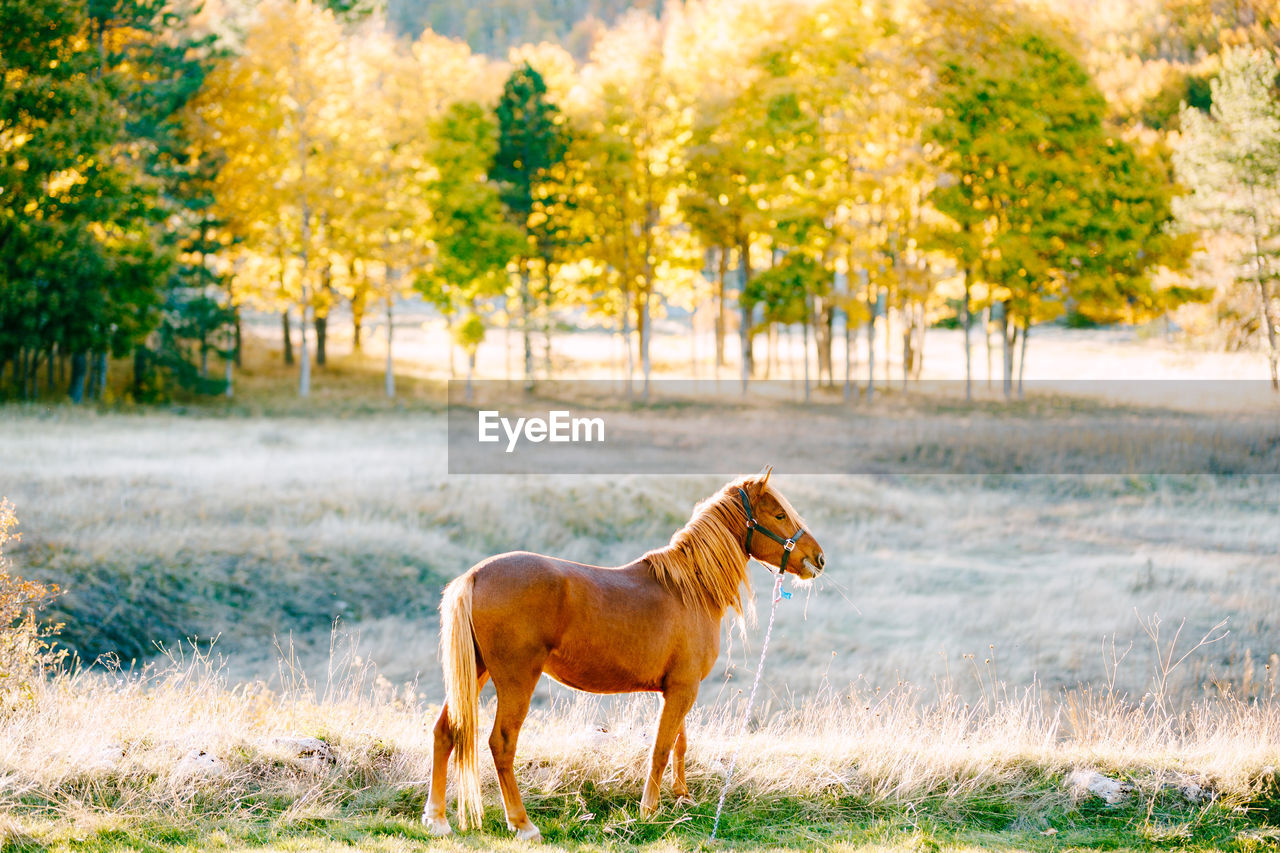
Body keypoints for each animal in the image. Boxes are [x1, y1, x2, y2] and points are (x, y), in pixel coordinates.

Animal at [424, 468, 824, 840]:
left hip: (475, 674)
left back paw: (437, 819)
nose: (818, 559)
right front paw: (649, 809)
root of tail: (475, 576)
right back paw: (523, 824)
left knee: (445, 731)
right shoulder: (683, 688)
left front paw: (682, 797)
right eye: (779, 515)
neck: (689, 589)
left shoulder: (677, 689)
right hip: (515, 680)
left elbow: (679, 742)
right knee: (502, 744)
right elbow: (662, 748)